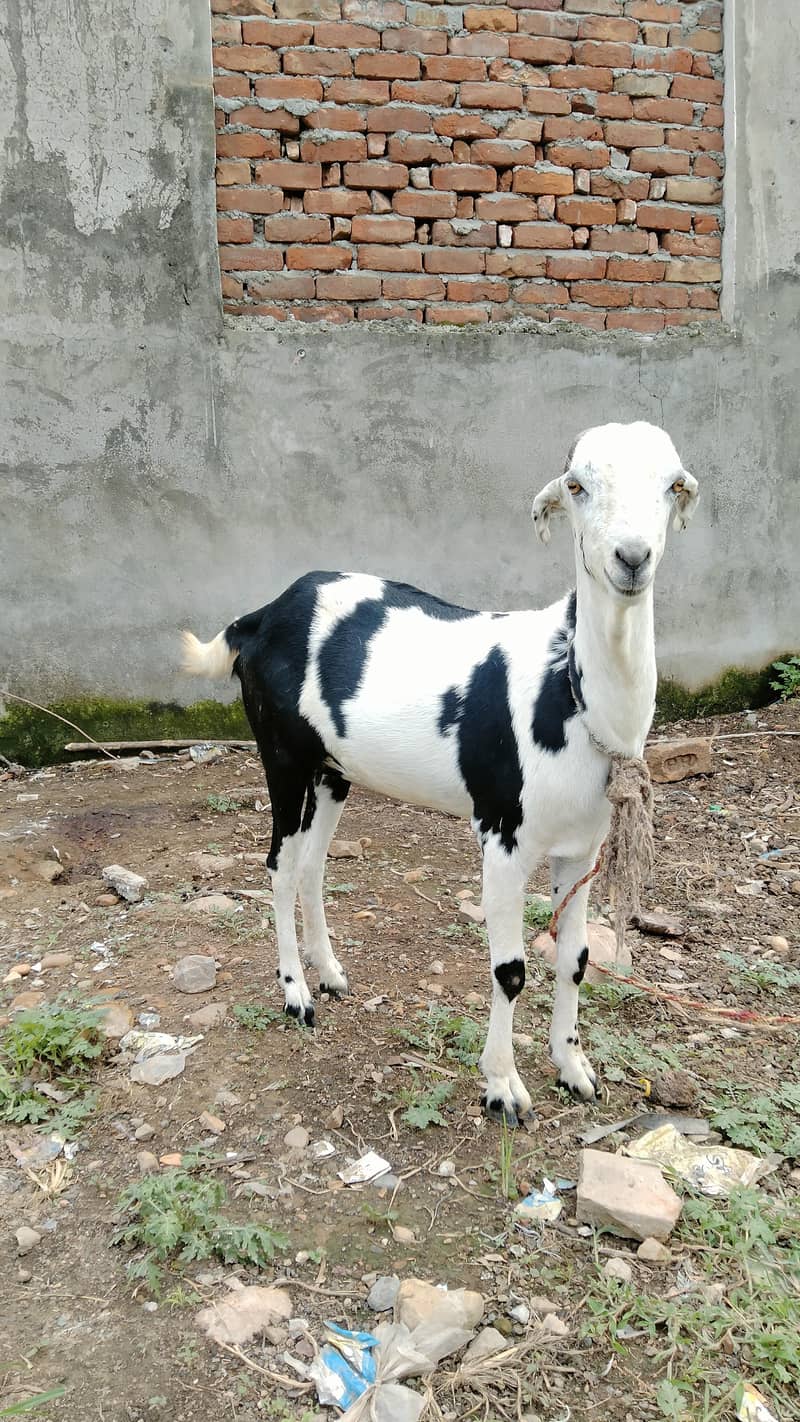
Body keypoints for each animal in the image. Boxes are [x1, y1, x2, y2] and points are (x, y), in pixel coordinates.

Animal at [182, 421, 698, 1124]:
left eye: (673, 485)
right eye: (576, 485)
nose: (632, 557)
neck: (568, 689)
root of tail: (259, 616)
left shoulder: (582, 846)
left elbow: (576, 958)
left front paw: (573, 1068)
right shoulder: (504, 835)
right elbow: (511, 970)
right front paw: (503, 1087)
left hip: (333, 770)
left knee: (313, 865)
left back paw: (331, 973)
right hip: (281, 755)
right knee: (281, 867)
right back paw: (296, 994)